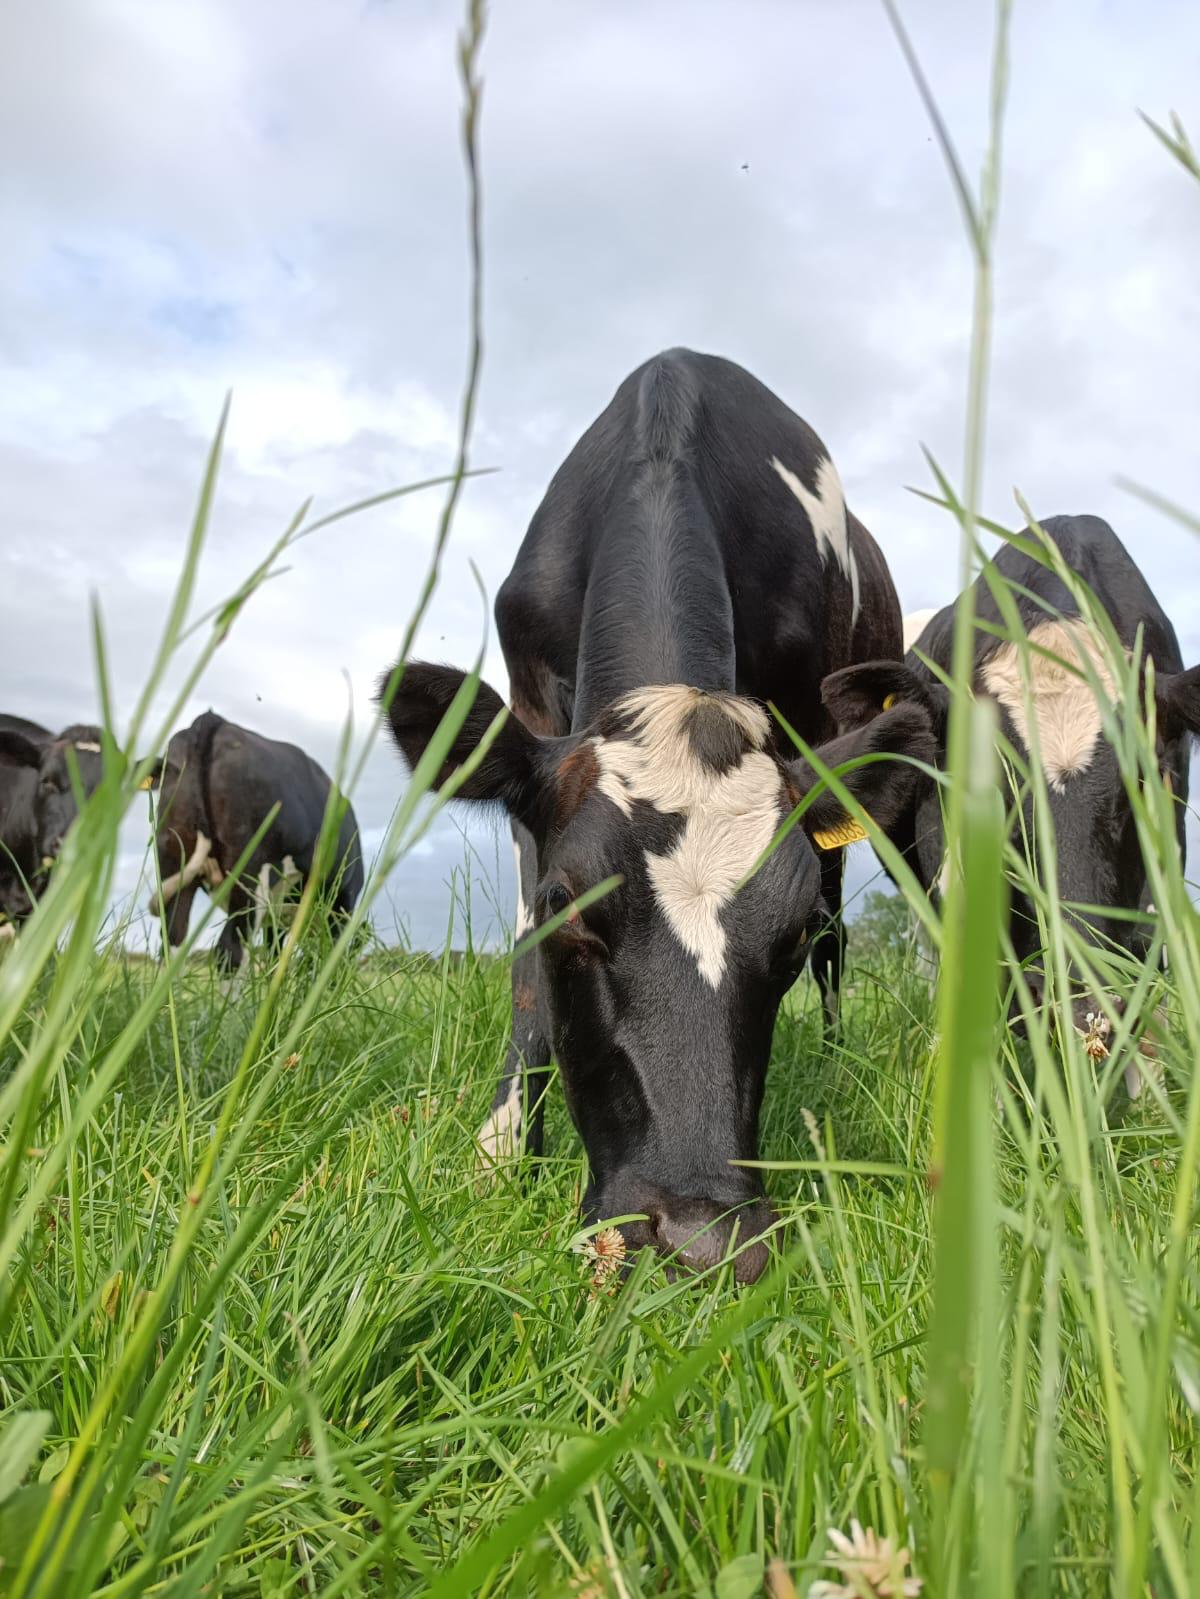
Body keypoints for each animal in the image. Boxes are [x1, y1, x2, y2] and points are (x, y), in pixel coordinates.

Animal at [147, 710, 364, 968]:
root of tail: (211, 721)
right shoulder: (344, 900)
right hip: (252, 874)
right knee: (231, 948)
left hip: (173, 856)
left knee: (172, 941)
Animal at [378, 349, 933, 1282]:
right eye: (568, 909)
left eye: (784, 937)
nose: (701, 1238)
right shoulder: (533, 722)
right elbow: (523, 965)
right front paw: (502, 1148)